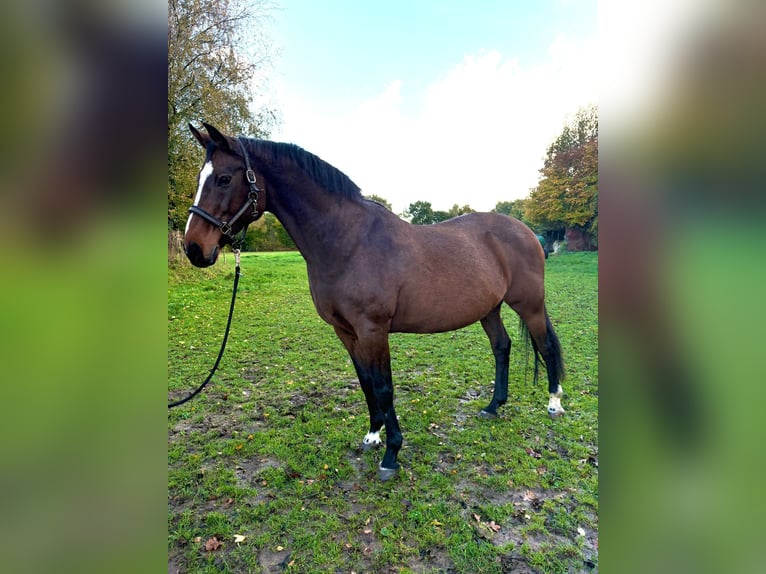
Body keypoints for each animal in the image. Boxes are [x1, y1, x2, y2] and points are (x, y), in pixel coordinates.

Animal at [182, 122, 565, 481]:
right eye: (202, 178)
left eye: (224, 178)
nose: (194, 249)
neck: (347, 241)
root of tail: (526, 231)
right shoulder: (346, 331)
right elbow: (365, 381)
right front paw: (373, 435)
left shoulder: (373, 330)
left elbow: (383, 386)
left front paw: (392, 453)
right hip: (489, 308)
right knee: (502, 346)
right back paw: (493, 406)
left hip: (529, 304)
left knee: (546, 346)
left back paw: (554, 403)